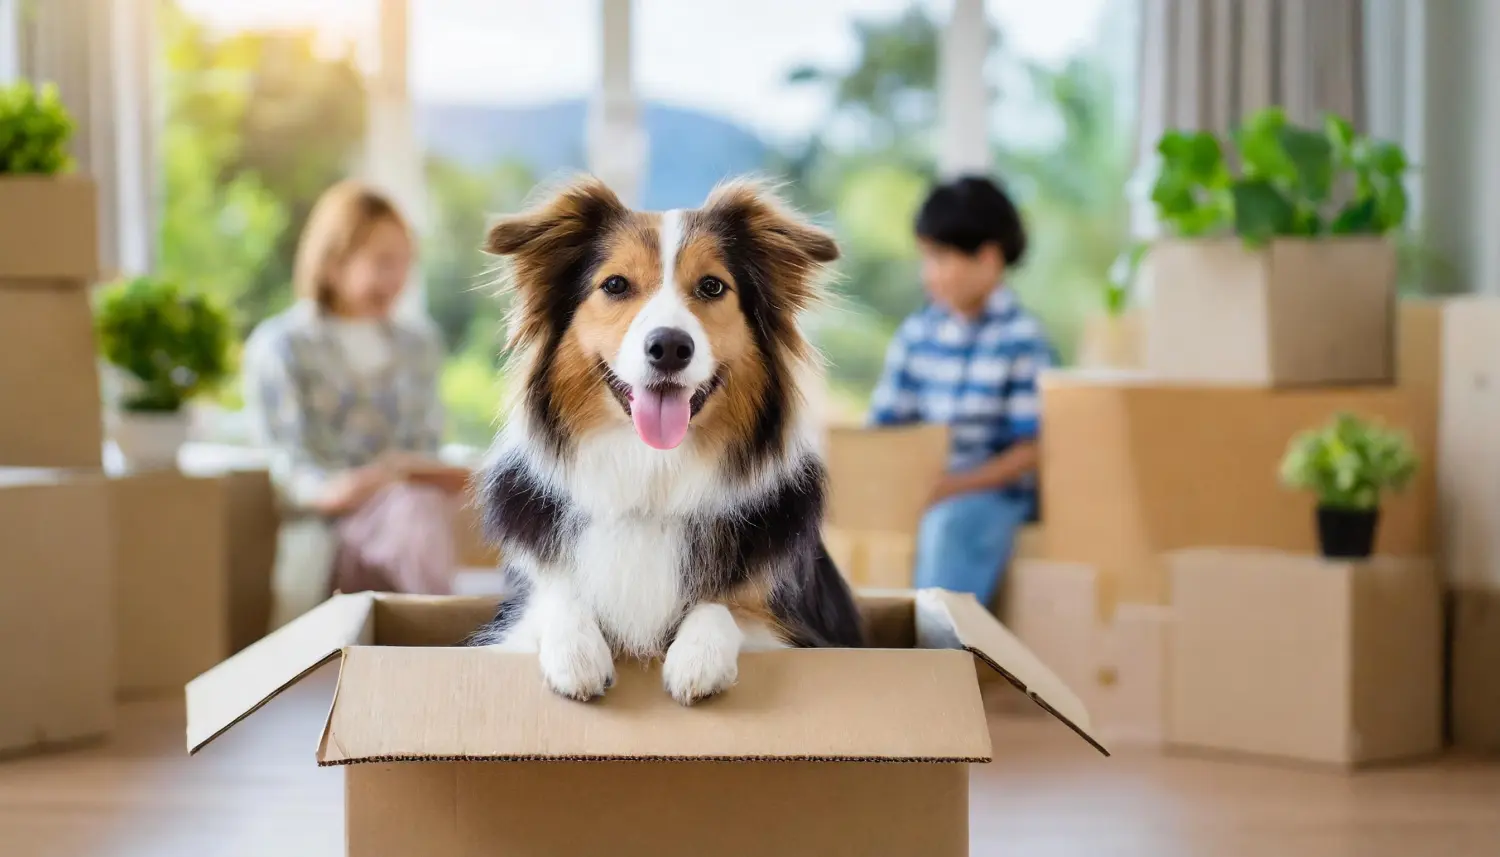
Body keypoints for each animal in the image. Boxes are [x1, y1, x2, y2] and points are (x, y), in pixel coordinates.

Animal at [465, 176, 870, 705]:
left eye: (712, 286)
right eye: (615, 285)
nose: (671, 347)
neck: (652, 475)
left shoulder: (800, 631)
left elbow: (725, 607)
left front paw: (697, 657)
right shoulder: (521, 608)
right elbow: (559, 597)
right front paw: (576, 653)